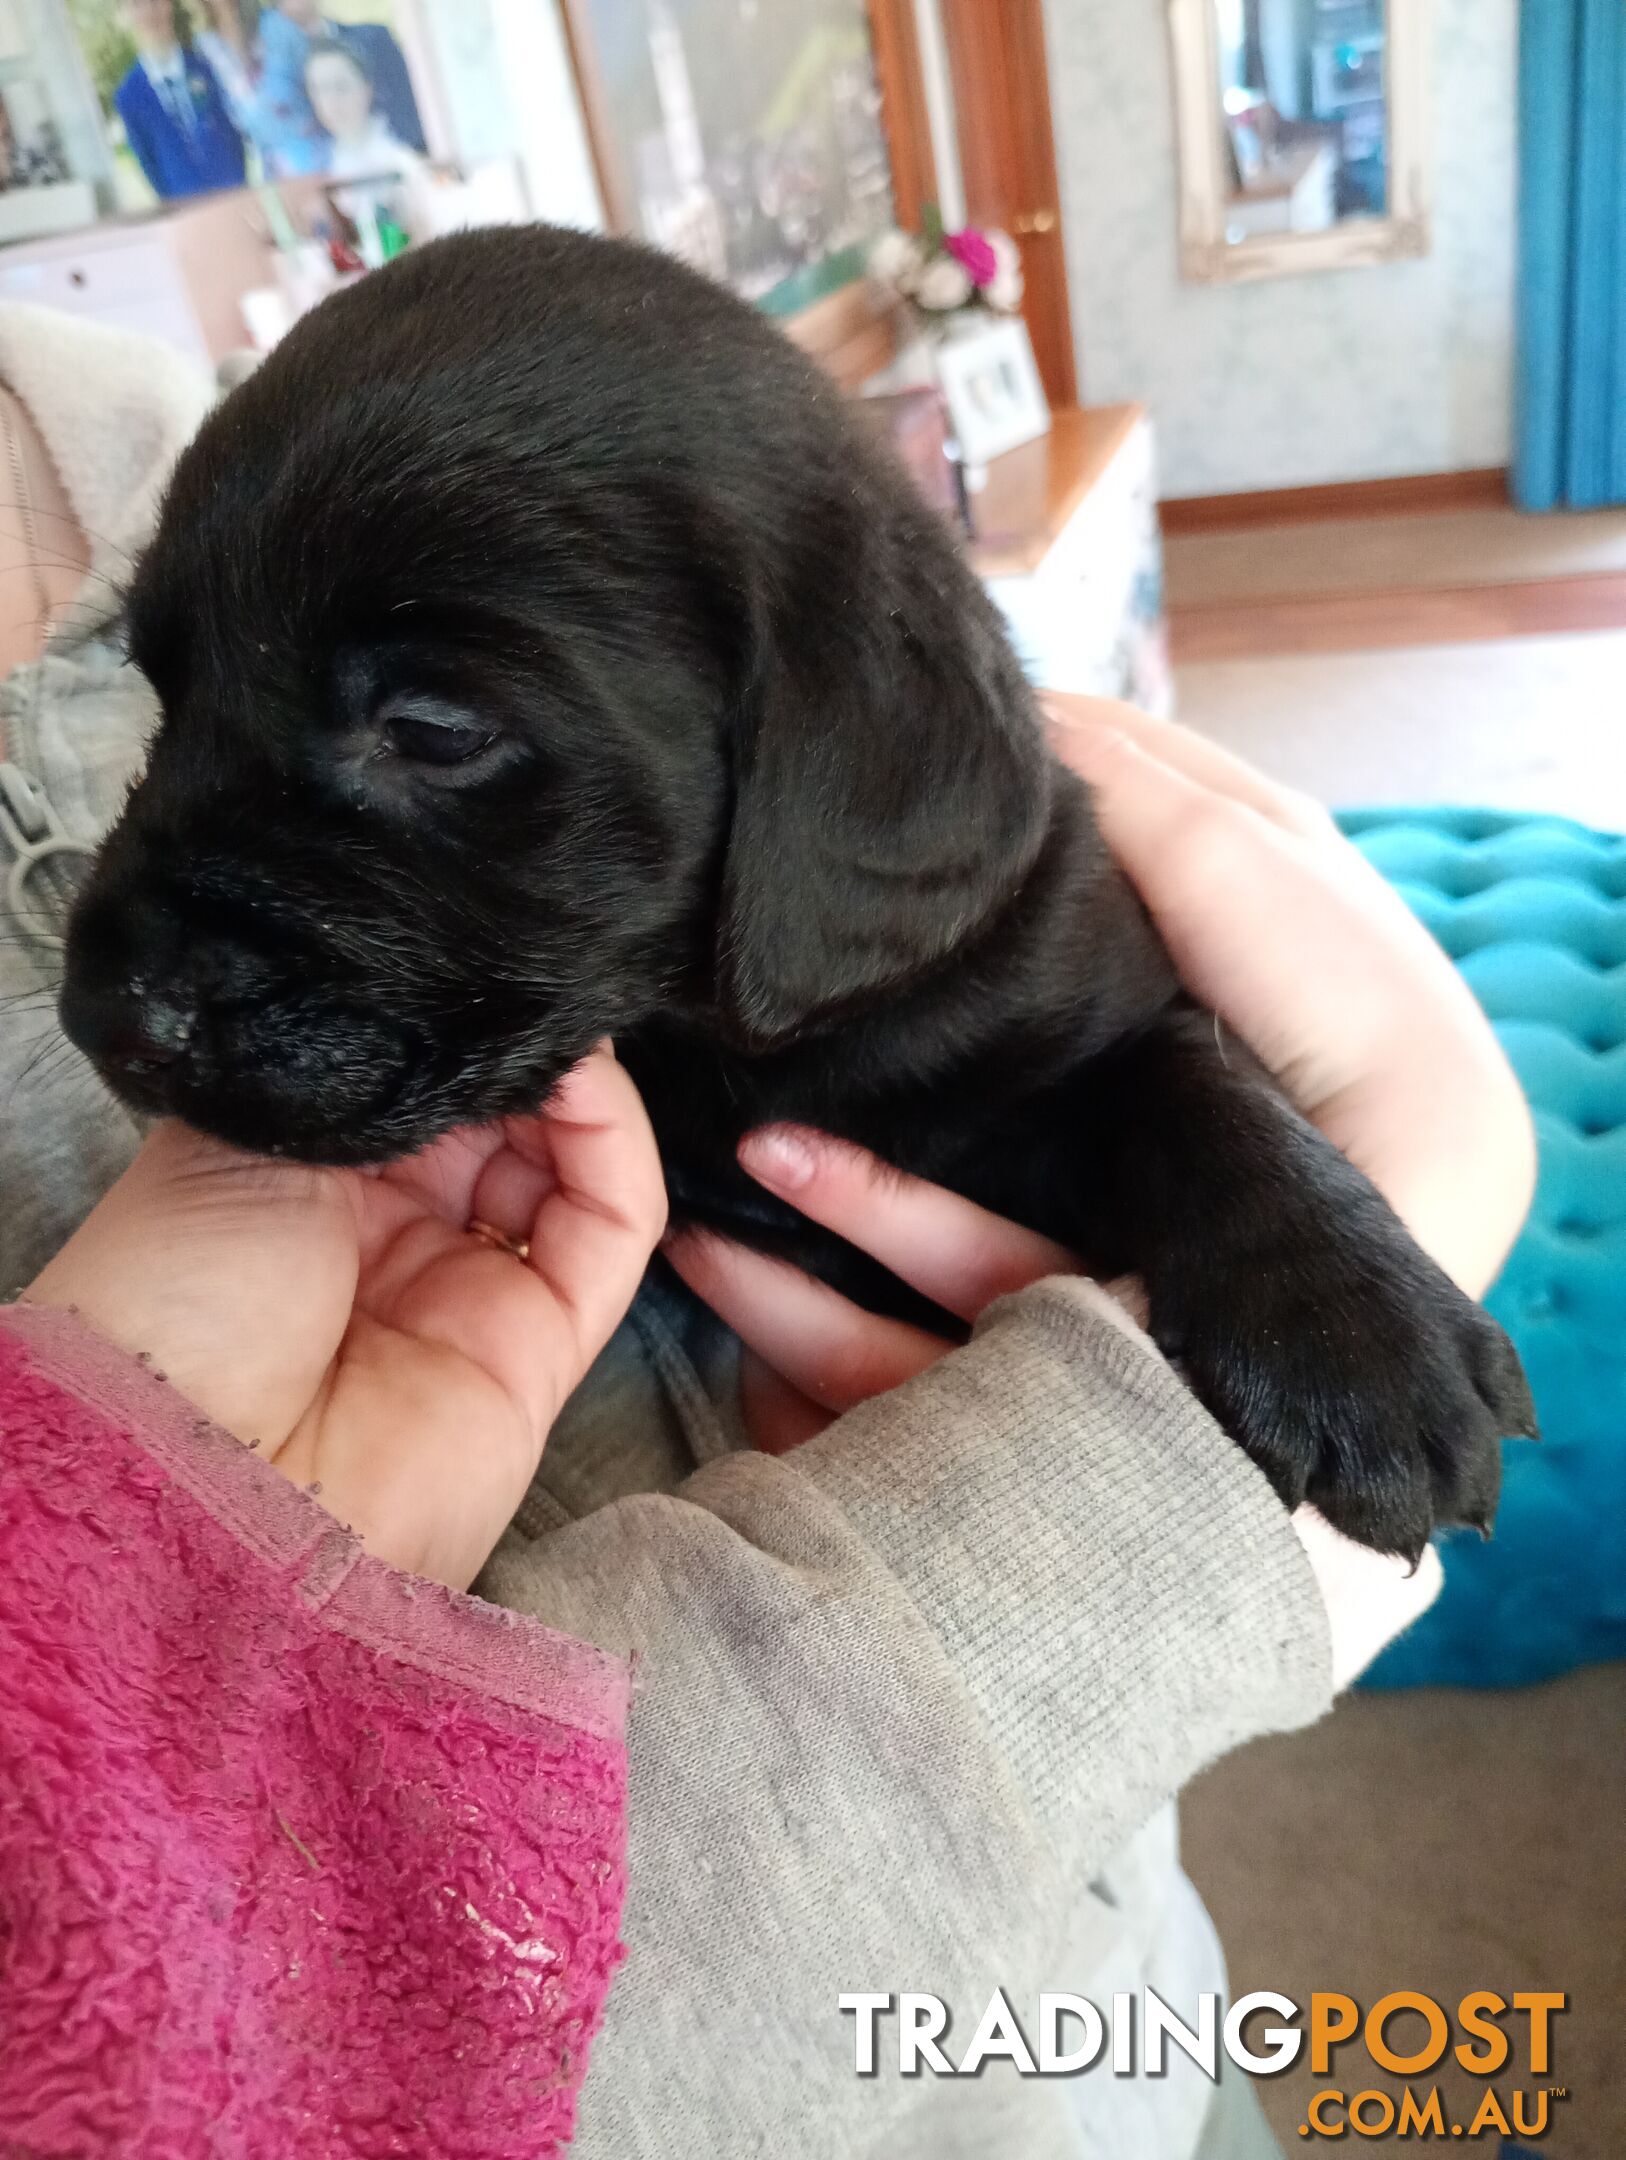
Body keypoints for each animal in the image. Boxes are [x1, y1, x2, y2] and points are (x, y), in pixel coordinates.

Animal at [60, 227, 1537, 1563]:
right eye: (160, 692)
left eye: (432, 728)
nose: (101, 1020)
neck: (751, 1036)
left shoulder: (1092, 983)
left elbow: (1194, 1077)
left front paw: (1354, 1329)